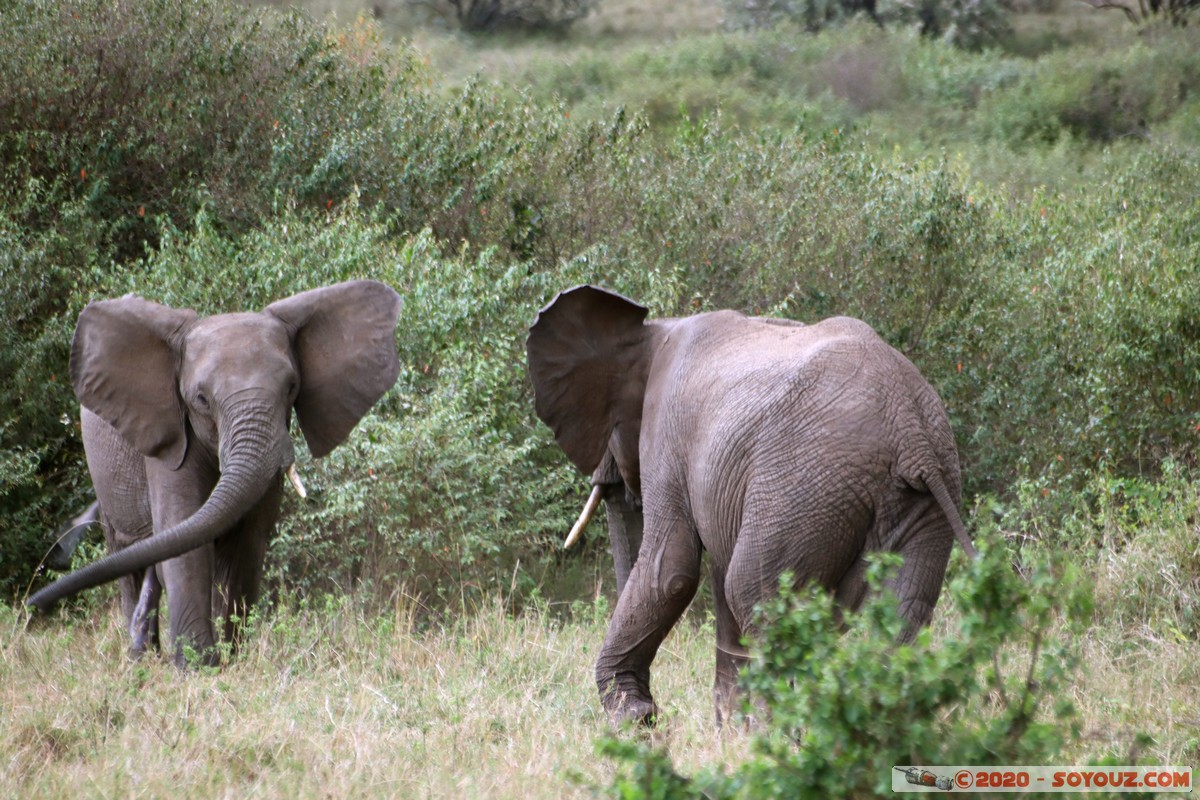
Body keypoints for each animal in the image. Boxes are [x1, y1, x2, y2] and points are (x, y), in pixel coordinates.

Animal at [27, 278, 403, 666]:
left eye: (292, 388)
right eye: (201, 400)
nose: (32, 605)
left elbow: (247, 544)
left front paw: (233, 658)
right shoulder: (169, 437)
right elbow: (185, 538)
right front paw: (198, 666)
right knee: (127, 554)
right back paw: (139, 659)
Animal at [525, 286, 974, 724]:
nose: (646, 719)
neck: (653, 329)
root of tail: (910, 431)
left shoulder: (667, 435)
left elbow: (670, 572)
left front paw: (633, 718)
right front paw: (726, 731)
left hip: (803, 485)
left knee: (753, 591)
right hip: (924, 497)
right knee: (903, 611)